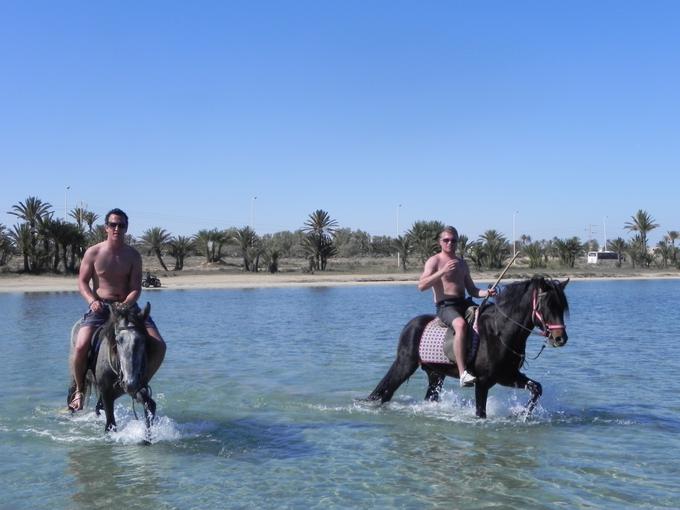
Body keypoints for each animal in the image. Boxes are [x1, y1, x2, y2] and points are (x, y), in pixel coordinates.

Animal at [66, 300, 157, 440]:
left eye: (142, 340)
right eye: (118, 340)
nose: (130, 382)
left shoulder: (136, 388)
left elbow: (149, 406)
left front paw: (147, 438)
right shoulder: (107, 393)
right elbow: (110, 425)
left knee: (98, 407)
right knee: (73, 393)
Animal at [366, 278, 568, 418]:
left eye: (562, 306)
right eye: (546, 305)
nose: (561, 338)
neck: (499, 332)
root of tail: (411, 325)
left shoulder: (507, 376)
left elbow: (537, 389)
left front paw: (521, 414)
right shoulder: (483, 382)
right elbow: (481, 413)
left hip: (435, 374)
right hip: (405, 365)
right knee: (385, 392)